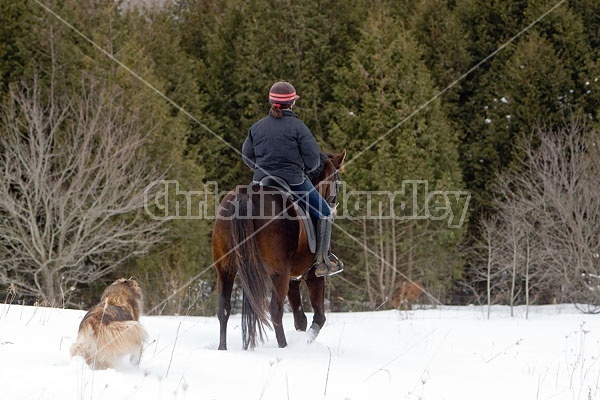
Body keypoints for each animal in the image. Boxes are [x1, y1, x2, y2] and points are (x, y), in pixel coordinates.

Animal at [213, 150, 346, 350]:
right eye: (337, 180)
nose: (333, 208)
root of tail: (245, 195)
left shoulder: (293, 279)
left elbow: (300, 319)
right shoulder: (312, 276)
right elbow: (319, 317)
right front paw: (307, 340)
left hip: (226, 269)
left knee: (224, 308)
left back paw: (223, 348)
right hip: (279, 273)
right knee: (275, 311)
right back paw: (283, 347)